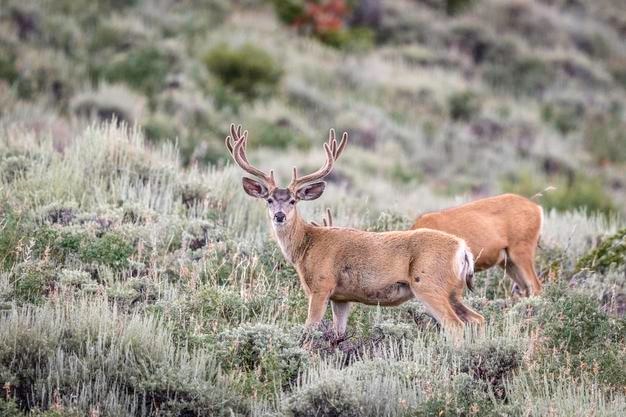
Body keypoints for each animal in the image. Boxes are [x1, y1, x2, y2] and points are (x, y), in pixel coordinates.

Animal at [224, 124, 482, 334]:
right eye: (268, 199)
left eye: (293, 201)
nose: (279, 216)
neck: (306, 246)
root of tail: (463, 249)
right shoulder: (341, 297)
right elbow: (339, 333)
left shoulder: (321, 285)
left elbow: (309, 329)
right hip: (453, 291)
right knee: (477, 319)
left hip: (429, 284)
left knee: (455, 326)